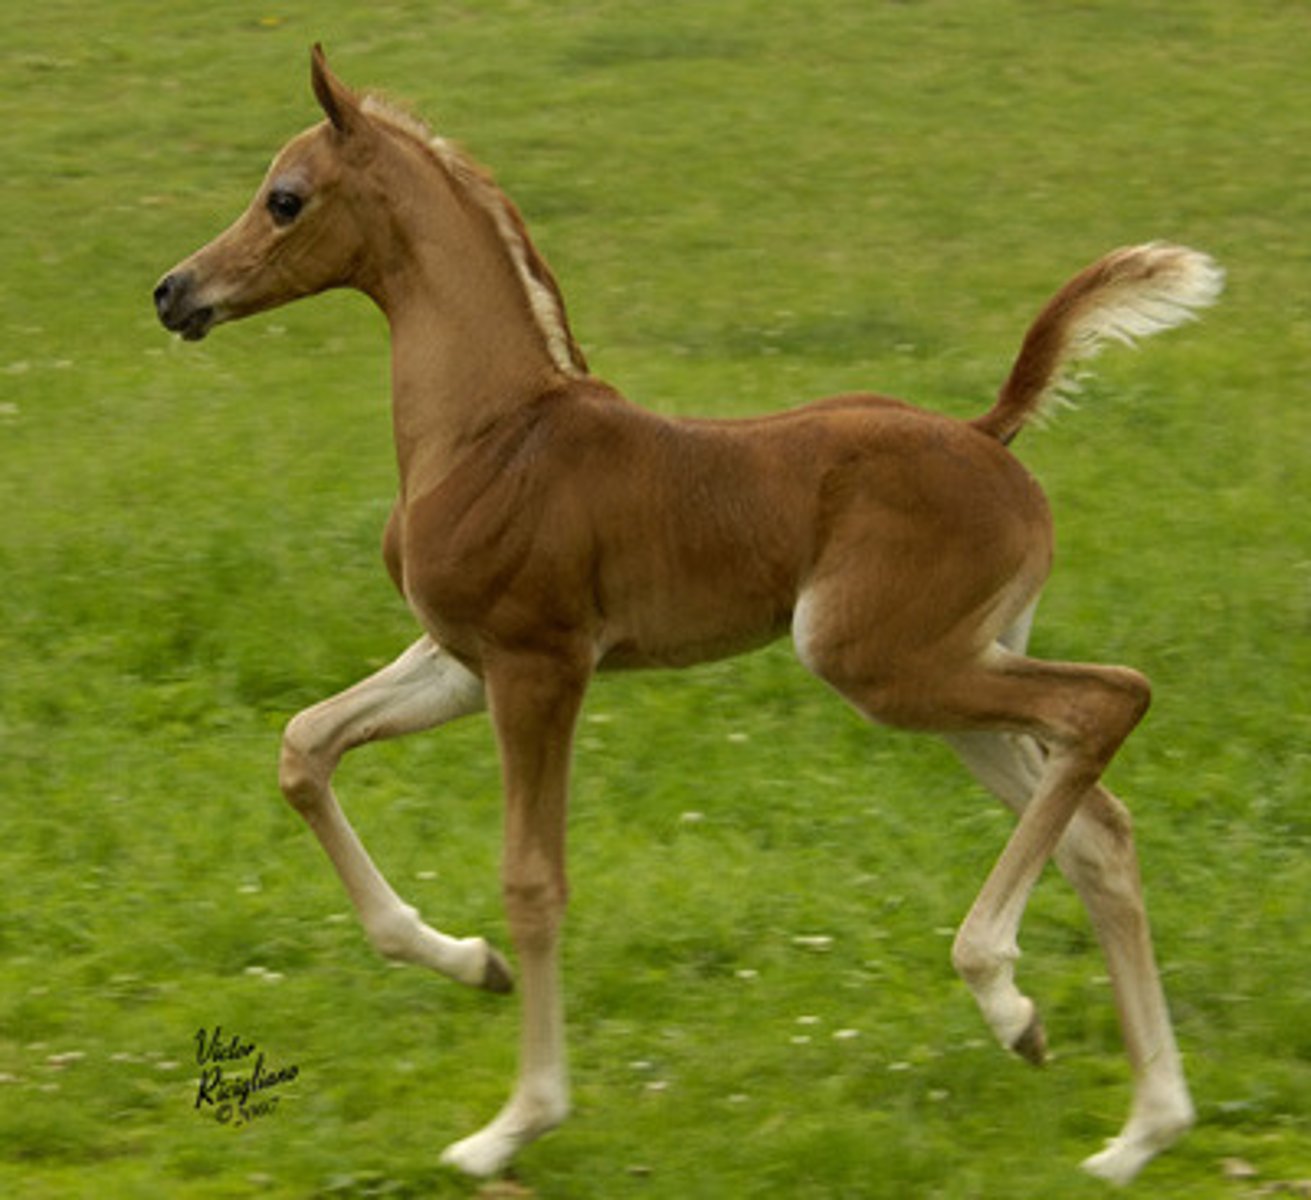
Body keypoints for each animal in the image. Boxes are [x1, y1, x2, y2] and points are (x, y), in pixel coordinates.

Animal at [154, 45, 1221, 1184]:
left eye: (284, 197)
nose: (175, 291)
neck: (489, 429)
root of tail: (989, 433)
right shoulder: (459, 660)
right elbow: (304, 747)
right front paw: (469, 963)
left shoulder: (539, 666)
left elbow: (533, 882)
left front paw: (515, 1122)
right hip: (953, 677)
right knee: (1097, 825)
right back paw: (1131, 1122)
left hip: (882, 664)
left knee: (1110, 702)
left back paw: (1005, 992)